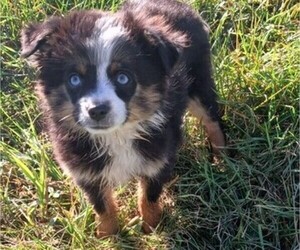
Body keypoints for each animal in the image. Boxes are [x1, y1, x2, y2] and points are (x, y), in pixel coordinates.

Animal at [20, 0, 225, 236]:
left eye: (123, 78)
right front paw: (108, 236)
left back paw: (222, 158)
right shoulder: (85, 170)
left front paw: (151, 229)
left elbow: (148, 197)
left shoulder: (158, 158)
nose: (97, 110)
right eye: (74, 79)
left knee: (212, 119)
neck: (117, 135)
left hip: (199, 79)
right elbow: (102, 206)